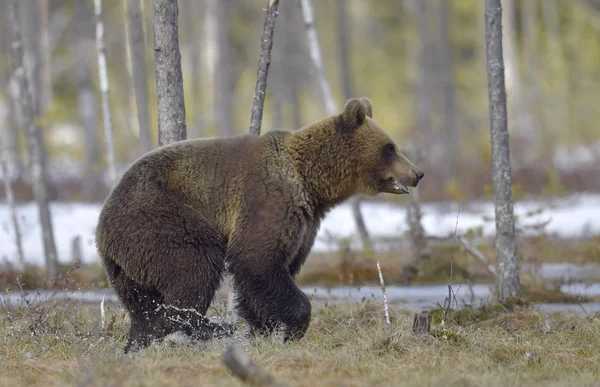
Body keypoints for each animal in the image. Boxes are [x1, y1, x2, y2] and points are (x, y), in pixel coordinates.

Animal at [95, 97, 422, 352]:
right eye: (390, 147)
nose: (417, 173)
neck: (313, 185)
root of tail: (101, 230)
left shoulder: (306, 222)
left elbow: (268, 275)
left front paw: (260, 329)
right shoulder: (269, 201)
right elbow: (257, 259)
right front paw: (291, 328)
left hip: (129, 265)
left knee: (142, 306)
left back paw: (139, 342)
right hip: (160, 220)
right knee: (195, 266)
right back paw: (210, 326)